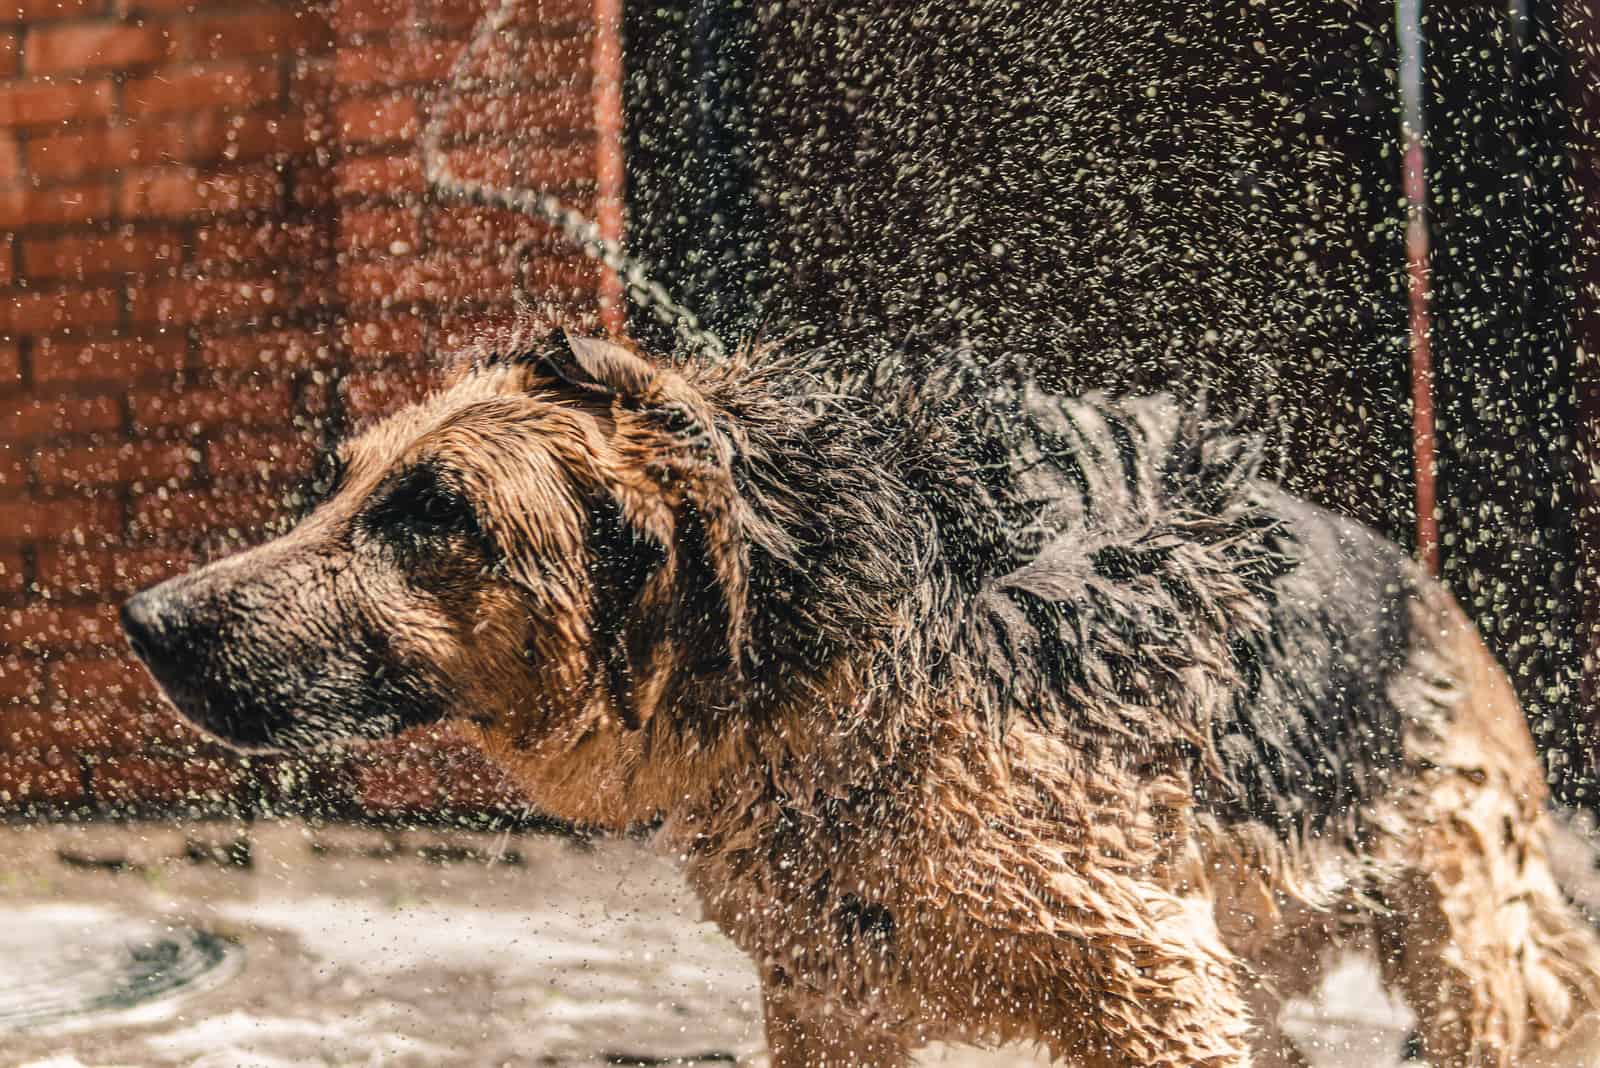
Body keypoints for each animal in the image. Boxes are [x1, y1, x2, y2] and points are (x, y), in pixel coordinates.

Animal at [121, 327, 1600, 1068]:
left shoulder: (1144, 979)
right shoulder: (833, 1001)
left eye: (435, 513)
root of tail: (1422, 585)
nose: (144, 621)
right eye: (343, 481)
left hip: (1462, 953)